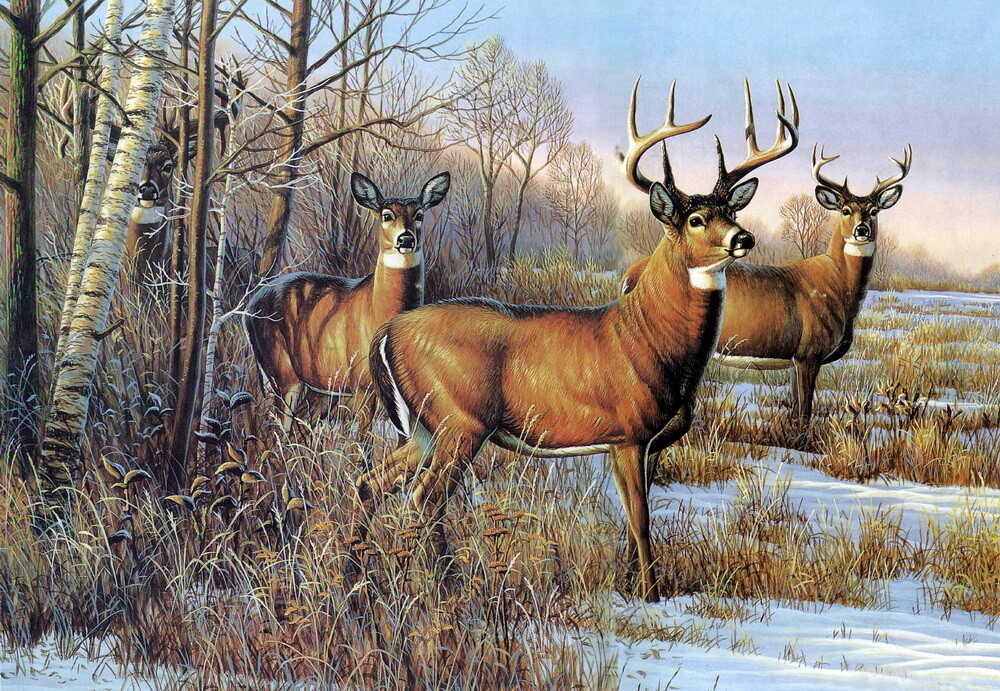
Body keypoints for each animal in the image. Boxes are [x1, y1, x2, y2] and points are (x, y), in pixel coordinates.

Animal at [244, 171, 451, 433]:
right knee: (277, 428)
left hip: (317, 384)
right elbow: (362, 437)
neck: (379, 309)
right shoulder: (361, 381)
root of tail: (250, 308)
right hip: (282, 370)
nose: (405, 239)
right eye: (387, 215)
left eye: (419, 214)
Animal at [356, 79, 799, 602]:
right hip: (459, 421)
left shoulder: (648, 442)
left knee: (370, 483)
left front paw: (629, 587)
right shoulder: (629, 433)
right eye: (694, 219)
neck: (651, 340)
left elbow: (631, 523)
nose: (743, 237)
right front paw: (652, 596)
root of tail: (387, 332)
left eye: (731, 209)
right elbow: (641, 521)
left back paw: (355, 571)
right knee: (425, 499)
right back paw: (448, 588)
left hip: (426, 428)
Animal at [621, 143, 911, 432]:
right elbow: (804, 415)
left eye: (874, 211)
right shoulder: (809, 353)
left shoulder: (796, 360)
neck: (839, 286)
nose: (862, 230)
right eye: (845, 210)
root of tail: (630, 275)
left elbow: (796, 410)